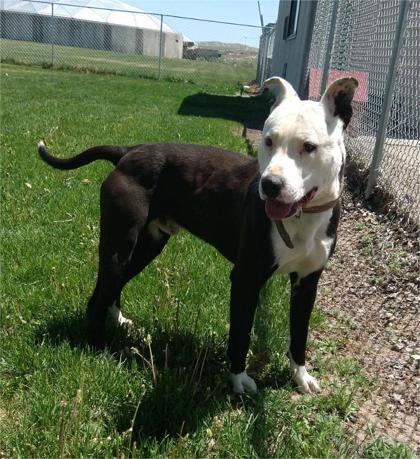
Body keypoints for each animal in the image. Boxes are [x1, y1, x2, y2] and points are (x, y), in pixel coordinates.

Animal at [38, 76, 358, 396]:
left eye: (309, 146)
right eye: (268, 141)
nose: (270, 184)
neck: (303, 217)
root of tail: (129, 151)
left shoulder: (307, 283)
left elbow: (299, 335)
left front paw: (300, 377)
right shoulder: (246, 279)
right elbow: (241, 333)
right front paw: (238, 379)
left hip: (146, 246)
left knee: (112, 287)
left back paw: (118, 321)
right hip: (120, 245)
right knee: (98, 296)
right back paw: (100, 348)